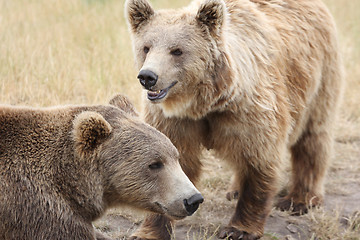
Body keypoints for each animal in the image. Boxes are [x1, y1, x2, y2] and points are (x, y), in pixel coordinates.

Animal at [126, 0, 344, 239]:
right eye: (146, 47)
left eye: (177, 50)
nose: (148, 76)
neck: (205, 104)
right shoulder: (175, 121)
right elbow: (170, 162)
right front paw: (149, 232)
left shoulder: (252, 112)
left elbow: (259, 161)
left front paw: (239, 229)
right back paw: (235, 190)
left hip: (319, 80)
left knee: (312, 139)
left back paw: (300, 200)